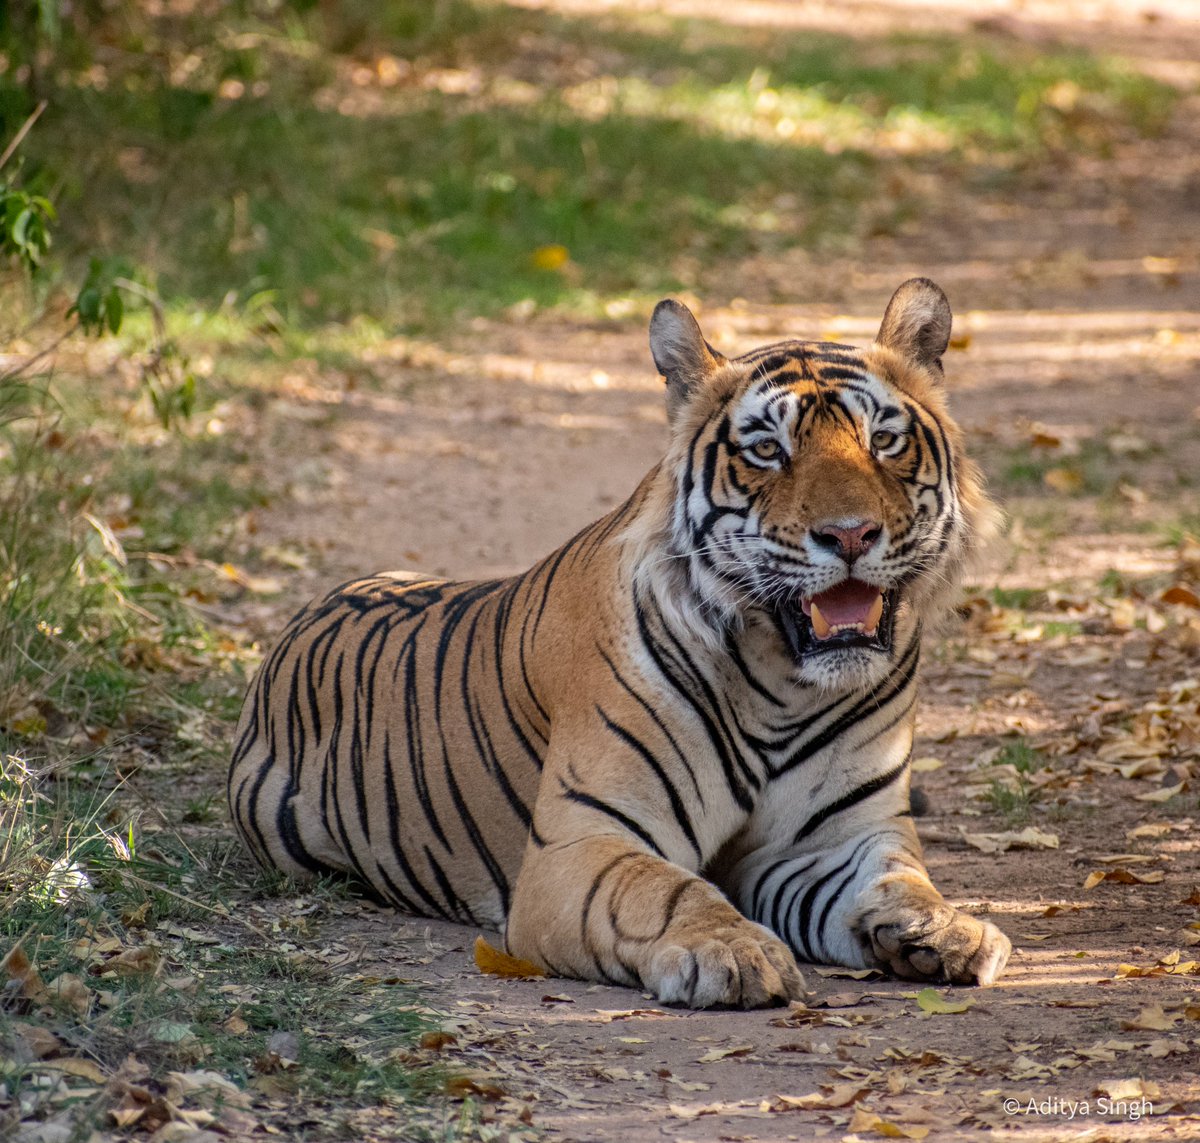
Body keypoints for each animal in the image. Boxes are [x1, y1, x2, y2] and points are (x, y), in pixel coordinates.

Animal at [229, 278, 1011, 1008]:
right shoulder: (585, 842)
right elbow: (665, 889)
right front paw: (731, 951)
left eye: (884, 440)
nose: (850, 535)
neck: (781, 683)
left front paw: (948, 930)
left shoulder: (836, 842)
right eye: (767, 450)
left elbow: (901, 881)